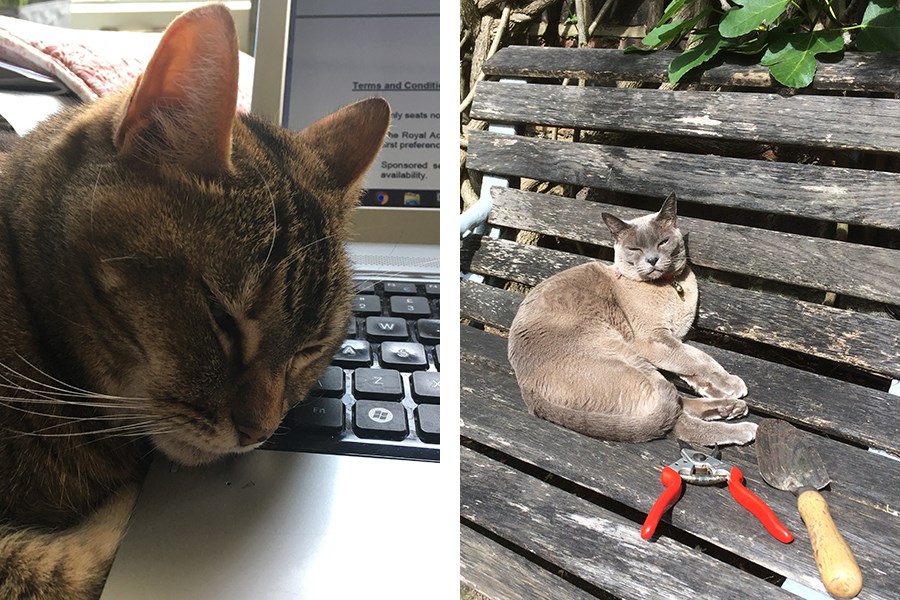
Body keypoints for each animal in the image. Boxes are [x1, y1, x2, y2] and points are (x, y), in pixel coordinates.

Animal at [510, 195, 756, 448]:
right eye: (635, 249)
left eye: (663, 242)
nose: (652, 259)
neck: (670, 286)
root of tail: (529, 393)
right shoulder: (653, 339)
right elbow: (697, 360)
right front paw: (730, 384)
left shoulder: (673, 338)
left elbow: (692, 361)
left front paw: (719, 388)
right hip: (630, 359)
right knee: (677, 421)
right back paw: (742, 427)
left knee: (675, 405)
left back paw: (730, 407)